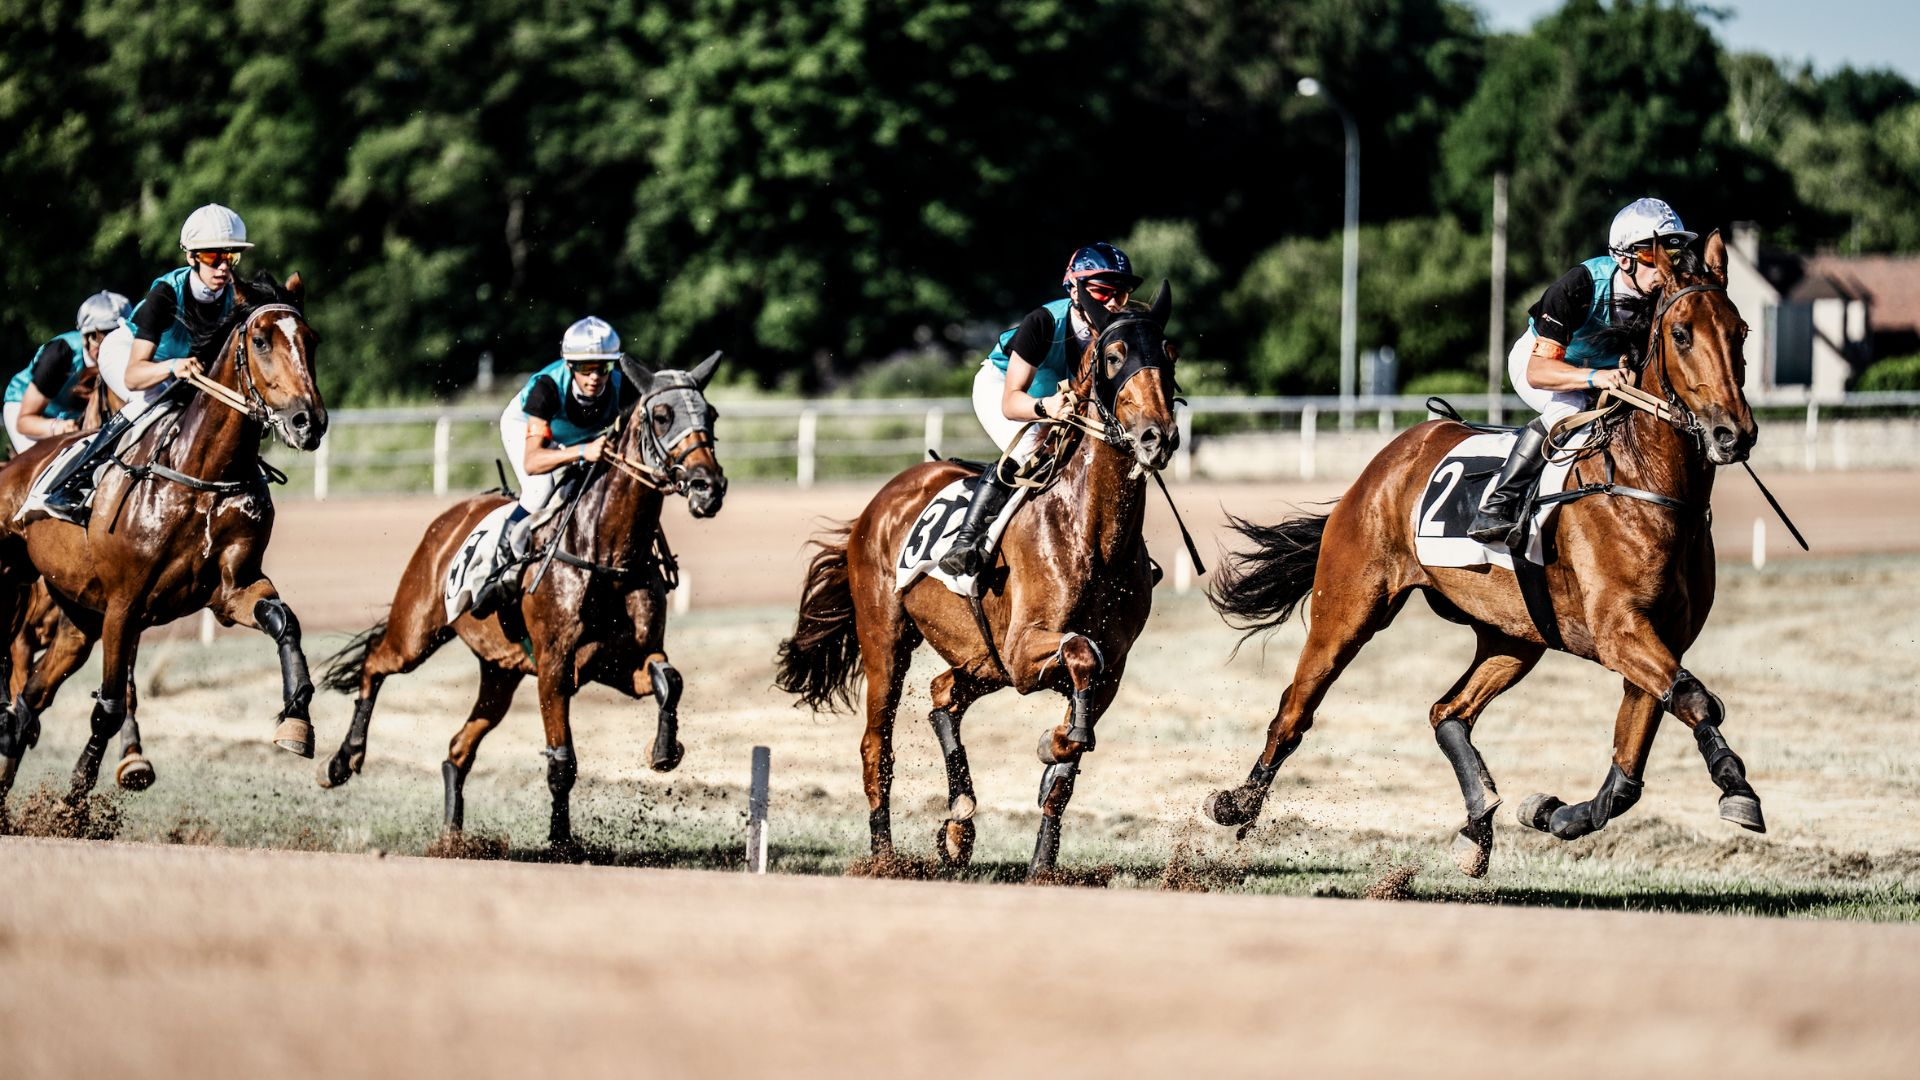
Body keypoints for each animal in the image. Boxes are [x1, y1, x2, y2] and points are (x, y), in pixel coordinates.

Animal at [0, 272, 327, 805]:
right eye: (261, 340)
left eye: (310, 340)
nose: (309, 422)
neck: (204, 475)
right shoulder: (124, 605)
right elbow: (111, 705)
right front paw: (80, 798)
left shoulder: (230, 590)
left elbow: (285, 622)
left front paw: (297, 719)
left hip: (77, 617)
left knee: (26, 708)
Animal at [315, 352, 726, 853]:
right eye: (663, 416)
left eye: (711, 415)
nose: (709, 486)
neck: (606, 552)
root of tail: (448, 519)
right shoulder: (553, 667)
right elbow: (562, 761)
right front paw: (561, 844)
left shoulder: (617, 662)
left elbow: (671, 679)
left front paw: (664, 751)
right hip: (416, 632)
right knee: (376, 662)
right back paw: (343, 761)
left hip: (500, 672)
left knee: (458, 749)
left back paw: (453, 840)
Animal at [774, 286, 1179, 879]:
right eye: (1113, 356)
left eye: (1169, 353)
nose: (1157, 436)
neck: (1091, 530)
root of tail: (879, 502)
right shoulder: (1024, 651)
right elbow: (1080, 655)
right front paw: (1058, 741)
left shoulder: (1109, 667)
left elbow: (1066, 768)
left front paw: (1042, 861)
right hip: (889, 640)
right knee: (877, 746)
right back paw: (885, 856)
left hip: (980, 658)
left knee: (943, 695)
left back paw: (959, 822)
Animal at [1203, 232, 1764, 877]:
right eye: (1681, 334)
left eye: (1741, 331)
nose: (1733, 434)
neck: (1645, 484)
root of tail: (1388, 458)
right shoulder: (1619, 630)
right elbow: (1697, 698)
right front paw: (1737, 788)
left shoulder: (1661, 638)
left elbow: (1630, 770)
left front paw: (1552, 812)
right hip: (1348, 610)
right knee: (1295, 710)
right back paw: (1238, 804)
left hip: (1514, 634)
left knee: (1449, 711)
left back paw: (1478, 822)